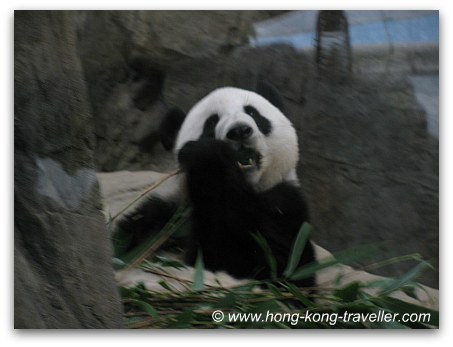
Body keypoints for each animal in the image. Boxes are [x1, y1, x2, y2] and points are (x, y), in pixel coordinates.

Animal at [115, 85, 316, 288]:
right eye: (211, 123)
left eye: (252, 112)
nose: (239, 131)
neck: (244, 188)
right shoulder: (165, 212)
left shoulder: (286, 209)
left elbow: (272, 266)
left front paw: (209, 158)